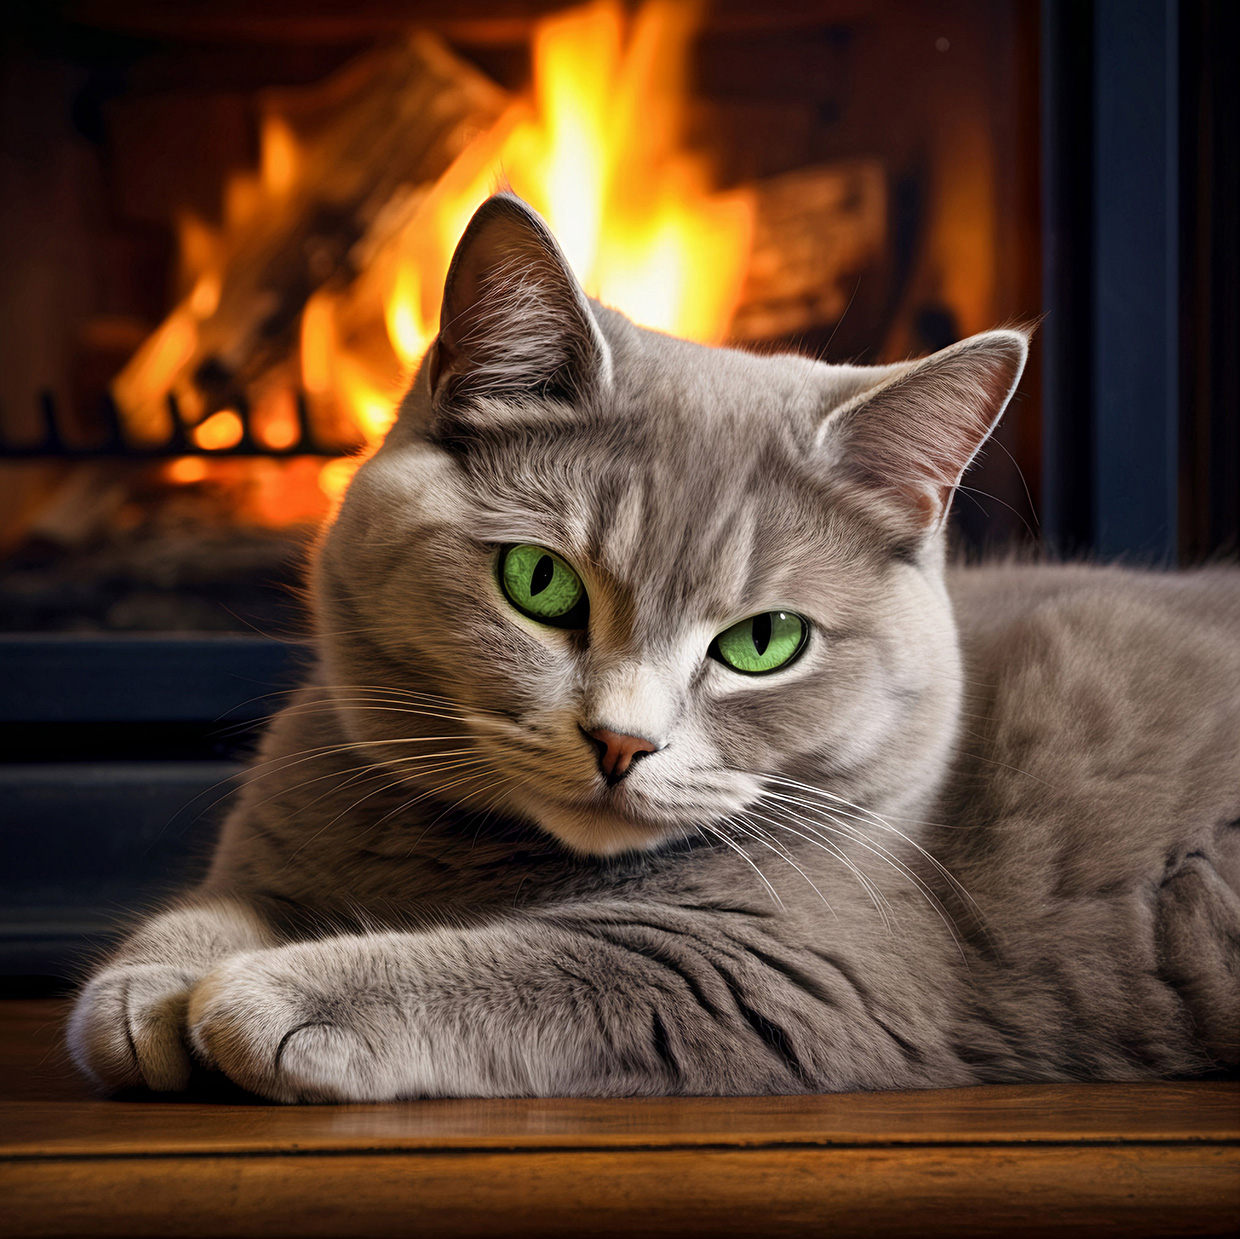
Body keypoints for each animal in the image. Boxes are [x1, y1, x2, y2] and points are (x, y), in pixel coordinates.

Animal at [67, 195, 1240, 1106]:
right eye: (538, 583)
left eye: (765, 641)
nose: (620, 742)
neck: (476, 859)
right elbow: (225, 897)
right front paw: (150, 983)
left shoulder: (795, 963)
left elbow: (553, 956)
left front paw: (270, 992)